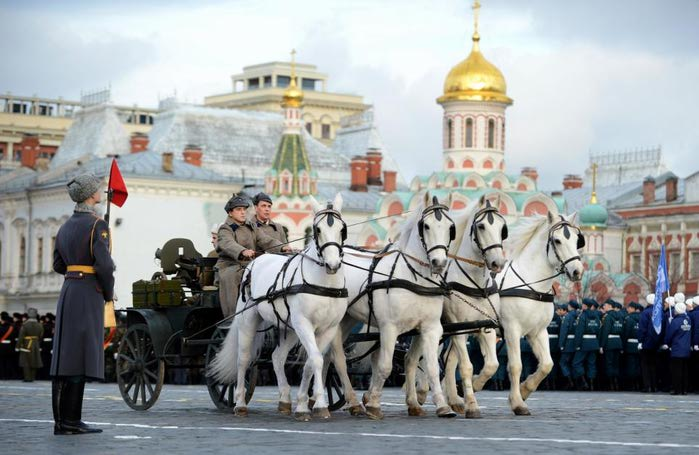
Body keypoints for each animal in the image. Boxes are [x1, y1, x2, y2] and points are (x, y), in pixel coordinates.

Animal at [209, 192, 348, 420]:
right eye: (317, 229)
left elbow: (310, 363)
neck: (323, 284)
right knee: (243, 359)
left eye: (342, 229)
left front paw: (304, 404)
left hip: (288, 328)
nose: (333, 265)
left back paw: (284, 400)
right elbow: (316, 360)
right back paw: (239, 403)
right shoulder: (304, 324)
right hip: (248, 321)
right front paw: (319, 404)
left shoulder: (328, 328)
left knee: (277, 357)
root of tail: (256, 259)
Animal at [330, 192, 456, 420]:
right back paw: (352, 402)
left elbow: (431, 368)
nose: (439, 263)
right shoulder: (389, 328)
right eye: (426, 226)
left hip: (348, 319)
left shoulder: (431, 328)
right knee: (338, 358)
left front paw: (442, 406)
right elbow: (385, 366)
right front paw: (373, 405)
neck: (413, 278)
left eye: (451, 227)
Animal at [410, 196, 508, 416]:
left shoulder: (485, 327)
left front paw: (473, 387)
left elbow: (492, 364)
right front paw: (472, 404)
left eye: (502, 227)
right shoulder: (457, 330)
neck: (476, 285)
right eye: (481, 226)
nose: (498, 263)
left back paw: (448, 399)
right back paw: (418, 395)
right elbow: (465, 366)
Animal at [498, 212, 584, 416]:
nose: (577, 271)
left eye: (576, 240)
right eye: (557, 240)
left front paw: (524, 390)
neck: (531, 285)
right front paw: (517, 403)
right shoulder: (511, 330)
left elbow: (547, 365)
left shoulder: (538, 332)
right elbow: (515, 366)